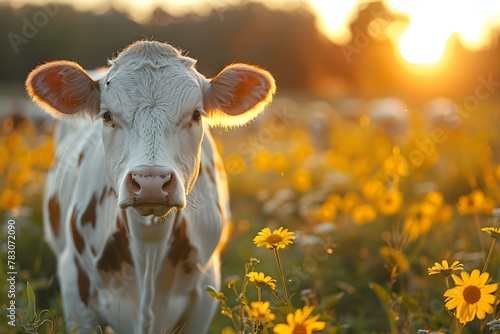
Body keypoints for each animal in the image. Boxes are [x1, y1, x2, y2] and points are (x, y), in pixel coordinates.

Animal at [26, 40, 278, 332]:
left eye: (196, 115)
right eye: (107, 116)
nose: (150, 182)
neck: (148, 247)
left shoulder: (206, 288)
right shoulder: (74, 284)